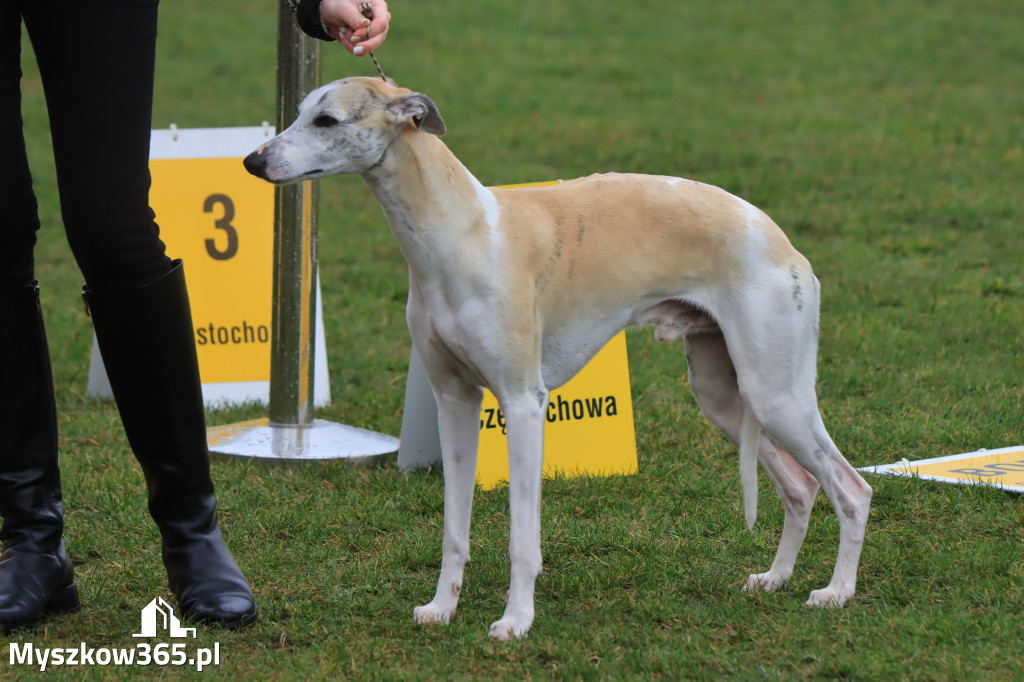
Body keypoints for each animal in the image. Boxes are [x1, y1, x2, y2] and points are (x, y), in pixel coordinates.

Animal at [245, 76, 872, 638]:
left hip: (775, 392)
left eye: (327, 120)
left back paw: (837, 592)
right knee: (802, 487)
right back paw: (775, 578)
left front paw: (516, 621)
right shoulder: (454, 400)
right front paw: (442, 609)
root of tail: (779, 238)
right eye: (298, 111)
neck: (459, 233)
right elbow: (454, 528)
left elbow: (522, 537)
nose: (253, 161)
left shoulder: (523, 404)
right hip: (725, 398)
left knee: (851, 488)